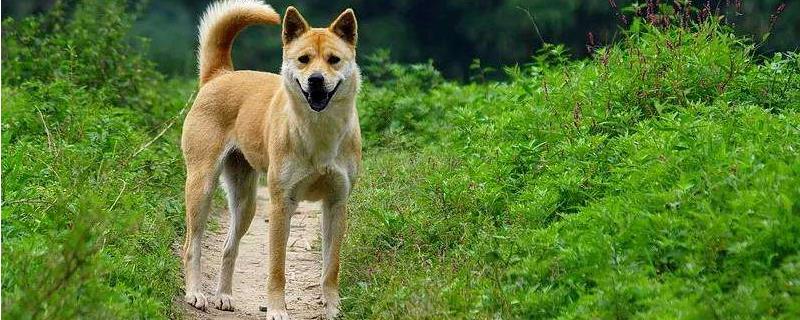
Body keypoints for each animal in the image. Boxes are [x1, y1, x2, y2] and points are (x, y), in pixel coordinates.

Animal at [181, 1, 362, 318]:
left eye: (334, 60)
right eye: (303, 59)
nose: (316, 80)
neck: (319, 131)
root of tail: (221, 74)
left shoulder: (336, 204)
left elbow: (331, 267)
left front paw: (332, 307)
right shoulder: (281, 205)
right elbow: (277, 268)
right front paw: (277, 309)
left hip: (245, 203)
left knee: (229, 247)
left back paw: (224, 296)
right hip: (201, 188)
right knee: (192, 245)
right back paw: (195, 293)